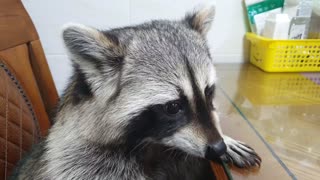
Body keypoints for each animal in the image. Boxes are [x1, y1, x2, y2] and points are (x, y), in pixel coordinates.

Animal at [13, 5, 262, 180]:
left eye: (208, 93)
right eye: (173, 107)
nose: (217, 147)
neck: (152, 143)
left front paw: (226, 139)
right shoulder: (82, 160)